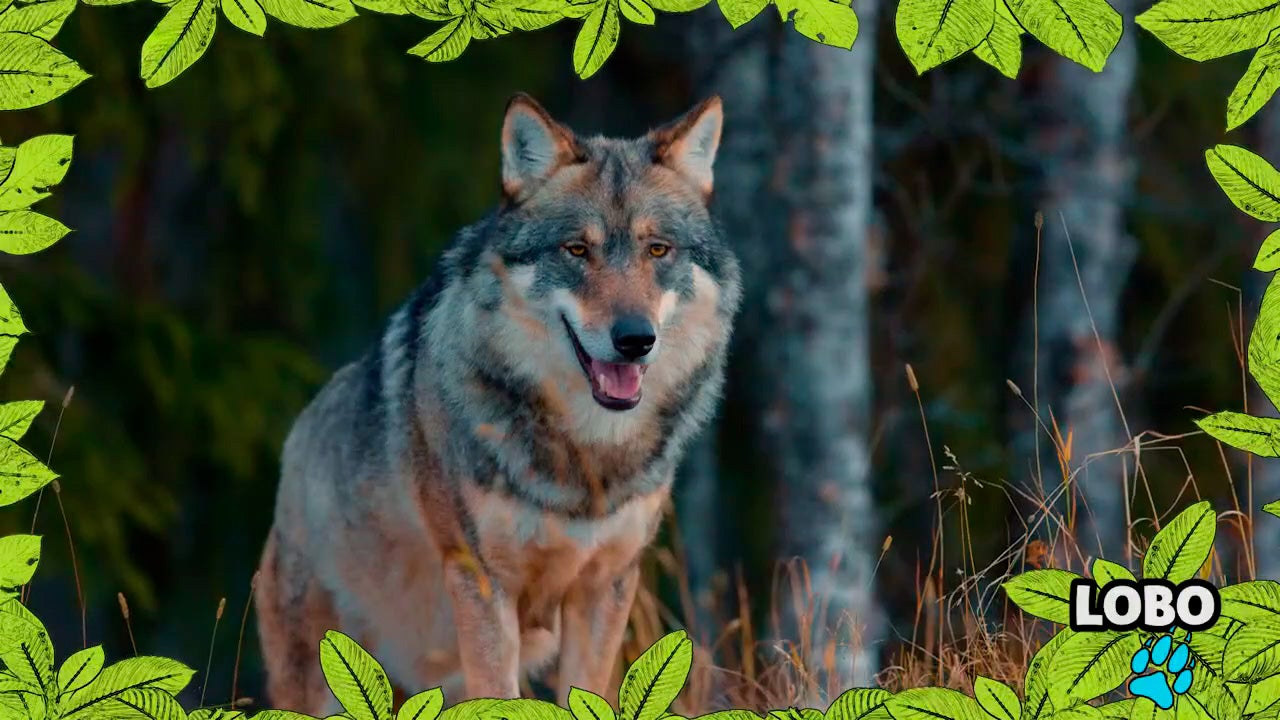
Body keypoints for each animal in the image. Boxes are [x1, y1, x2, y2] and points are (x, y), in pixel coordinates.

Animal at [253, 93, 742, 714]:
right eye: (576, 250)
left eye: (658, 250)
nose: (635, 339)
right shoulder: (484, 585)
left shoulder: (604, 588)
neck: (582, 458)